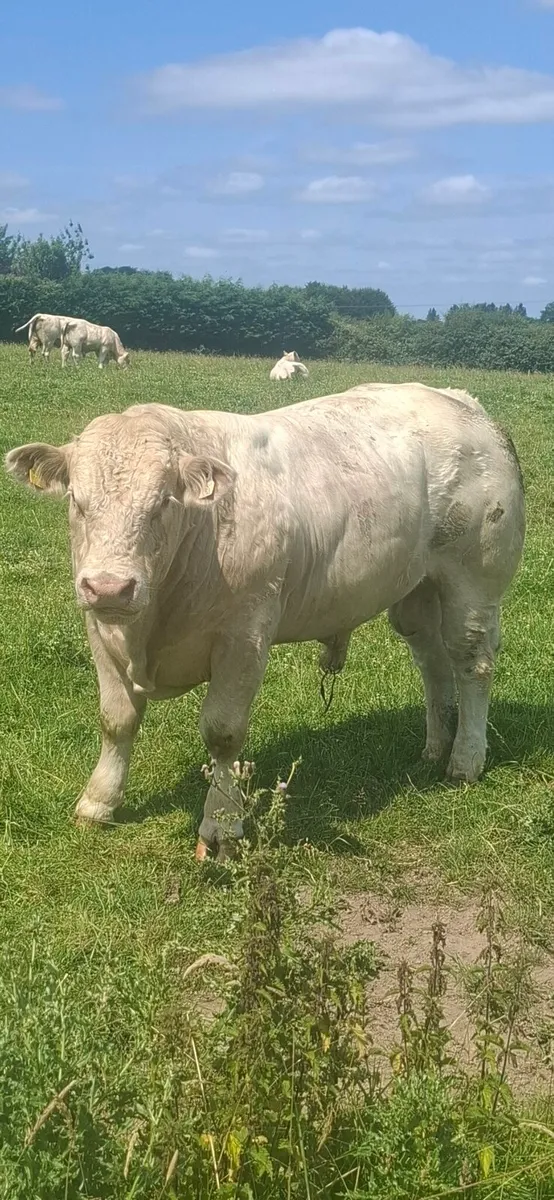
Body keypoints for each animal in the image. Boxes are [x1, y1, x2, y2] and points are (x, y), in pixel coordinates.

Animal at [5, 383, 525, 861]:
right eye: (76, 500)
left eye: (165, 502)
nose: (111, 587)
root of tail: (458, 400)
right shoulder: (101, 628)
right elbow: (116, 720)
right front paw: (98, 802)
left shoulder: (245, 635)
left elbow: (222, 732)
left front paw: (221, 826)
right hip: (417, 591)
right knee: (433, 662)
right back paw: (435, 746)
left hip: (474, 582)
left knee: (472, 663)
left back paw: (465, 759)